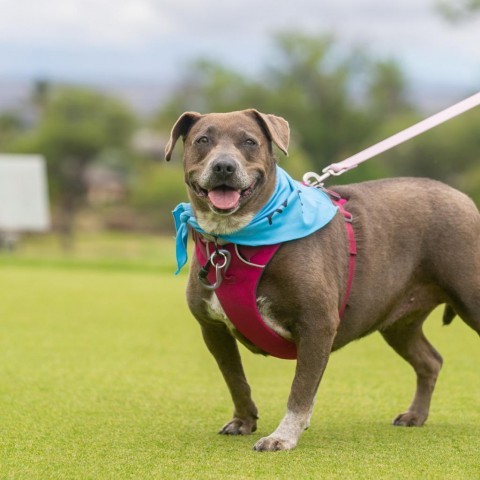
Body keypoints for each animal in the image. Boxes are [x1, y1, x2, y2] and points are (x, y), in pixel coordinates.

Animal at [166, 109, 480, 450]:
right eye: (202, 140)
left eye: (249, 141)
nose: (224, 165)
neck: (234, 241)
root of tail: (463, 197)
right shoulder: (213, 329)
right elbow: (235, 379)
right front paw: (243, 421)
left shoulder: (317, 324)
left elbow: (301, 389)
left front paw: (282, 437)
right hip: (399, 323)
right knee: (429, 361)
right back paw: (415, 415)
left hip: (470, 299)